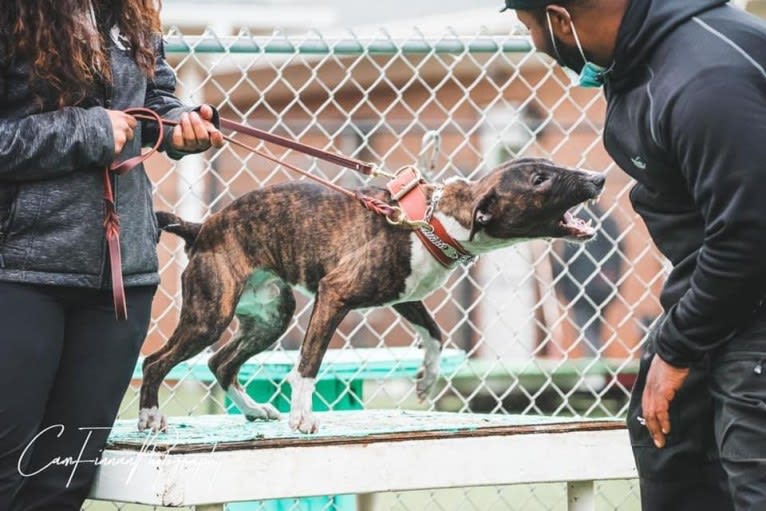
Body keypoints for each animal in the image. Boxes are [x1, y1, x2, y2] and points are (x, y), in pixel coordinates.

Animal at [138, 158, 608, 434]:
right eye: (539, 179)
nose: (599, 178)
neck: (435, 220)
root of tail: (202, 228)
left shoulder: (405, 296)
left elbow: (435, 335)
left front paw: (427, 379)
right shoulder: (334, 293)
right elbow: (308, 363)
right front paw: (302, 416)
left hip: (272, 315)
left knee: (220, 362)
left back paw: (253, 409)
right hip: (209, 315)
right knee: (156, 361)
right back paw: (149, 416)